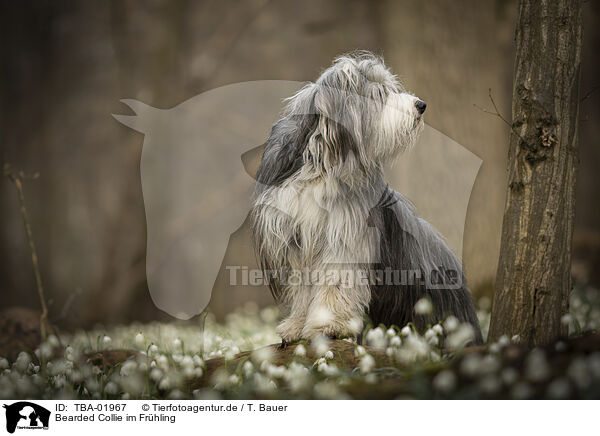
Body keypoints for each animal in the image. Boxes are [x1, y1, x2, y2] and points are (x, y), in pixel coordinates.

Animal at [252, 52, 482, 344]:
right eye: (380, 93)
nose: (421, 105)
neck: (321, 164)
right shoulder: (297, 239)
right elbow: (303, 288)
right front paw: (296, 326)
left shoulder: (346, 234)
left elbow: (336, 282)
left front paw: (329, 325)